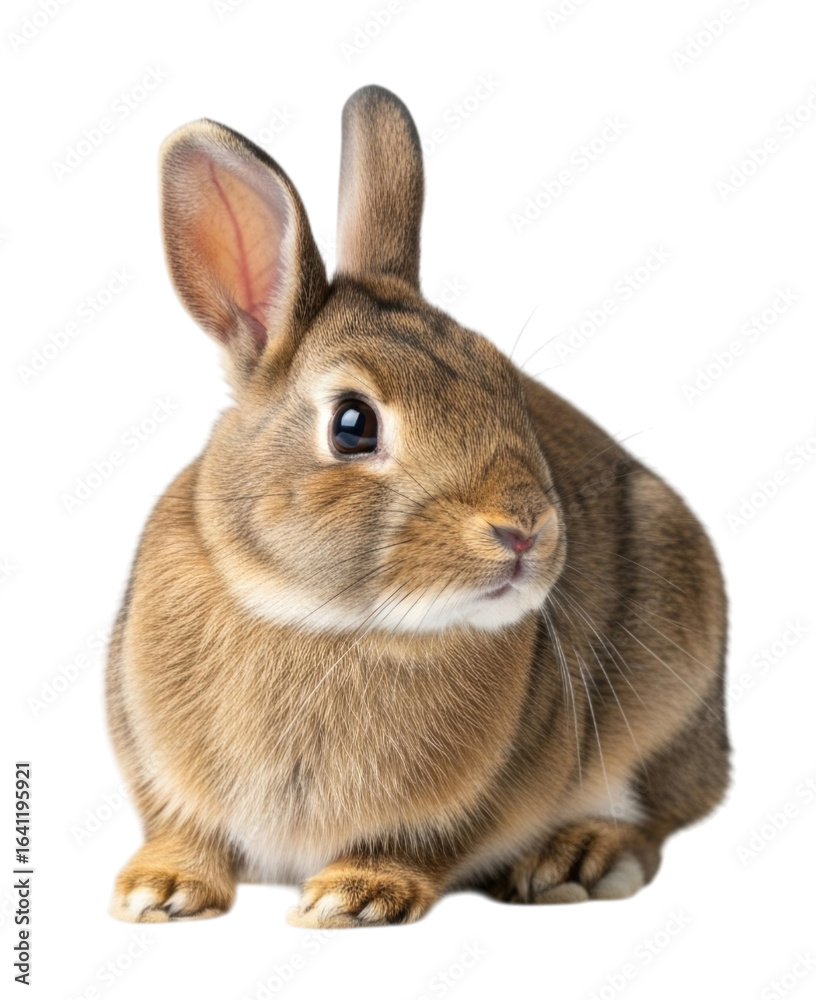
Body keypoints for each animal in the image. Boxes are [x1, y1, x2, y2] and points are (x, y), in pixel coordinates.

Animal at [106, 85, 729, 927]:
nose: (526, 531)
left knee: (659, 814)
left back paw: (579, 860)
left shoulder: (471, 802)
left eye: (507, 385)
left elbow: (422, 844)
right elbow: (179, 826)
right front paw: (159, 891)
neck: (326, 622)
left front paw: (356, 896)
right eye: (352, 425)